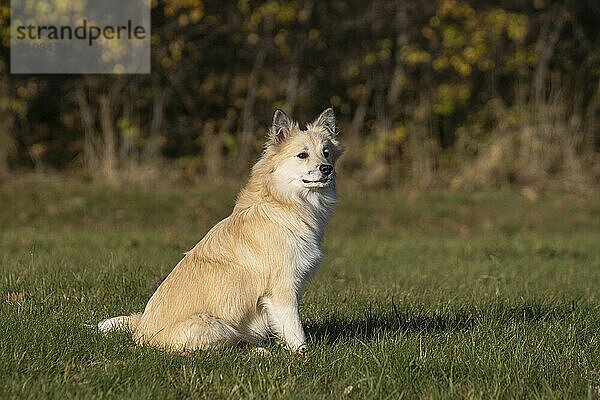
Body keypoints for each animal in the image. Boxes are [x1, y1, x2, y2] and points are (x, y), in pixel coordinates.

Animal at [98, 107, 342, 354]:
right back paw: (259, 351)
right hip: (216, 326)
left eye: (326, 153)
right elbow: (295, 330)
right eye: (302, 155)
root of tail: (141, 334)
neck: (281, 202)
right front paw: (303, 355)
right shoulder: (282, 289)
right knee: (228, 348)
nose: (327, 169)